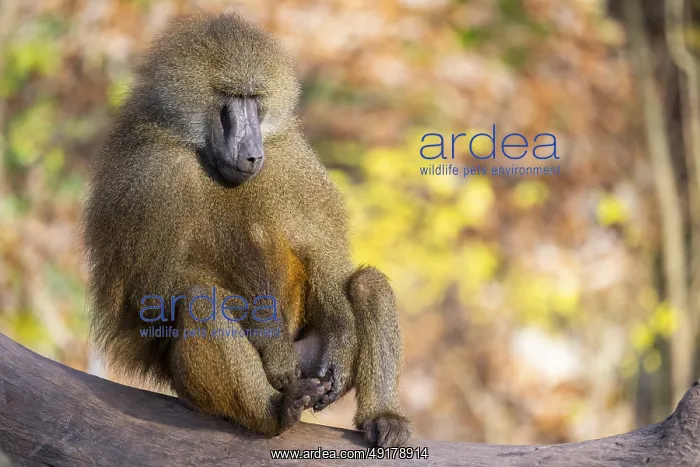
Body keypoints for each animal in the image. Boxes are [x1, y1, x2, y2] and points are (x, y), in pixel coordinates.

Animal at [82, 12, 412, 447]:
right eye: (229, 98)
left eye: (254, 101)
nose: (253, 153)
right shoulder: (151, 175)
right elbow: (154, 290)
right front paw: (270, 344)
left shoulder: (290, 160)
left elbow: (327, 259)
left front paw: (342, 341)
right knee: (200, 299)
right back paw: (275, 411)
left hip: (313, 360)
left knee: (367, 284)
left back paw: (384, 417)